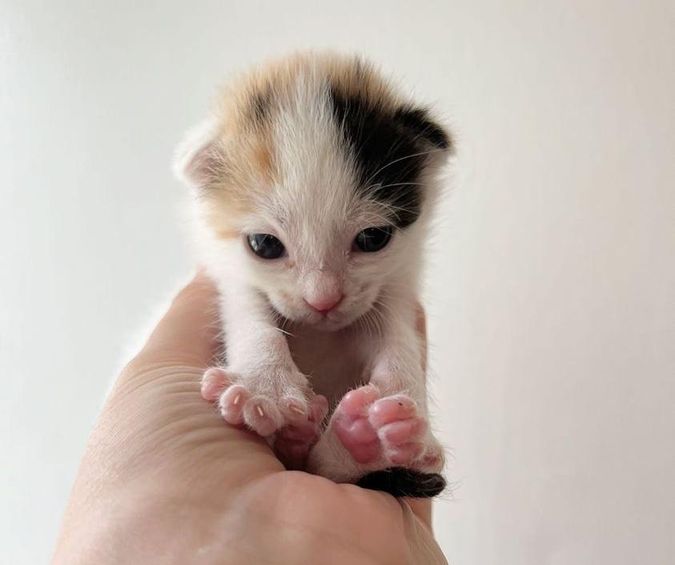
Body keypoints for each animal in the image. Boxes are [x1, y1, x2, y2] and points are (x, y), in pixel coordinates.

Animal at [174, 50, 452, 496]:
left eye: (373, 238)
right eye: (265, 245)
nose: (323, 300)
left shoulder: (391, 291)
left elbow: (398, 339)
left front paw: (406, 408)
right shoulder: (231, 279)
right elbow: (249, 315)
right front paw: (264, 386)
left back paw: (362, 443)